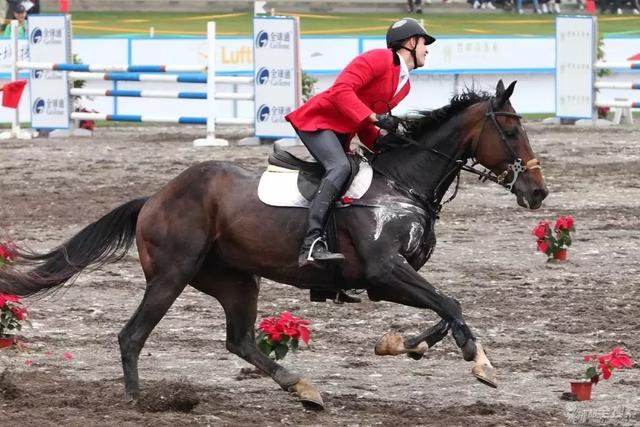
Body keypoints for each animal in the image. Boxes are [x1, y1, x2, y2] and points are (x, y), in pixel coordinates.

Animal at [0, 80, 548, 412]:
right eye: (511, 128)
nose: (538, 192)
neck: (402, 184)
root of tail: (154, 197)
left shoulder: (392, 277)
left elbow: (445, 309)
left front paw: (403, 345)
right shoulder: (384, 272)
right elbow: (451, 305)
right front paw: (479, 363)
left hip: (235, 280)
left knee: (240, 340)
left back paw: (302, 387)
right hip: (172, 275)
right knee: (132, 335)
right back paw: (137, 401)